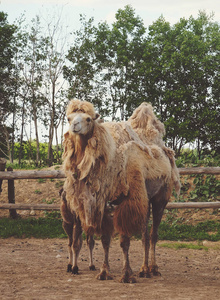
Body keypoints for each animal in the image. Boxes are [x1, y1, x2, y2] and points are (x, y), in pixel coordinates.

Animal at [60, 99, 180, 284]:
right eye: (68, 118)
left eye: (88, 119)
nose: (75, 126)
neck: (111, 162)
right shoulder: (103, 202)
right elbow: (105, 239)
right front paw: (104, 272)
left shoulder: (127, 201)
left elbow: (124, 240)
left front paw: (126, 274)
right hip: (145, 198)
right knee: (145, 234)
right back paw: (144, 269)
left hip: (161, 197)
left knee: (154, 233)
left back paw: (153, 269)